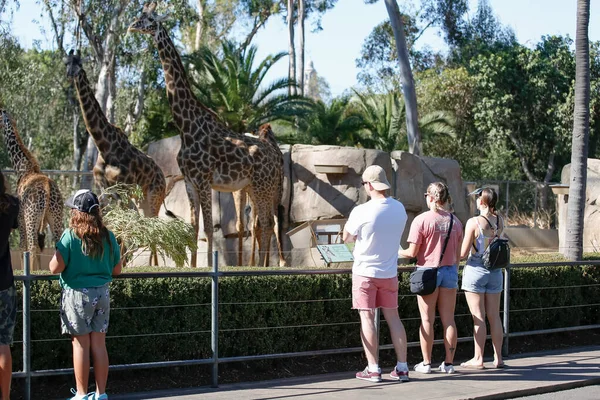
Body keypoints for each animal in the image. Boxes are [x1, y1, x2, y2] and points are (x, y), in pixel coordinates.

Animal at [0, 108, 63, 270]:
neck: (24, 169)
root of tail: (48, 189)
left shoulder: (20, 217)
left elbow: (23, 247)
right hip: (55, 215)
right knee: (58, 244)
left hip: (31, 216)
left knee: (32, 245)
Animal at [64, 50, 169, 266]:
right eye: (66, 62)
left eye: (78, 63)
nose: (70, 74)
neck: (104, 146)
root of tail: (162, 176)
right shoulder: (106, 189)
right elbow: (107, 217)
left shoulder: (123, 188)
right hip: (141, 198)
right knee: (145, 221)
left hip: (154, 194)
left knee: (153, 223)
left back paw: (153, 265)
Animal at [128, 2, 286, 268]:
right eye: (139, 15)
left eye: (149, 19)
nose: (131, 26)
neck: (186, 125)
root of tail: (276, 159)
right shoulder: (190, 182)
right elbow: (194, 228)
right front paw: (191, 267)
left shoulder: (203, 179)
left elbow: (209, 229)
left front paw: (210, 264)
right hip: (255, 186)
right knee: (264, 223)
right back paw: (259, 265)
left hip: (263, 186)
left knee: (266, 223)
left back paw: (261, 267)